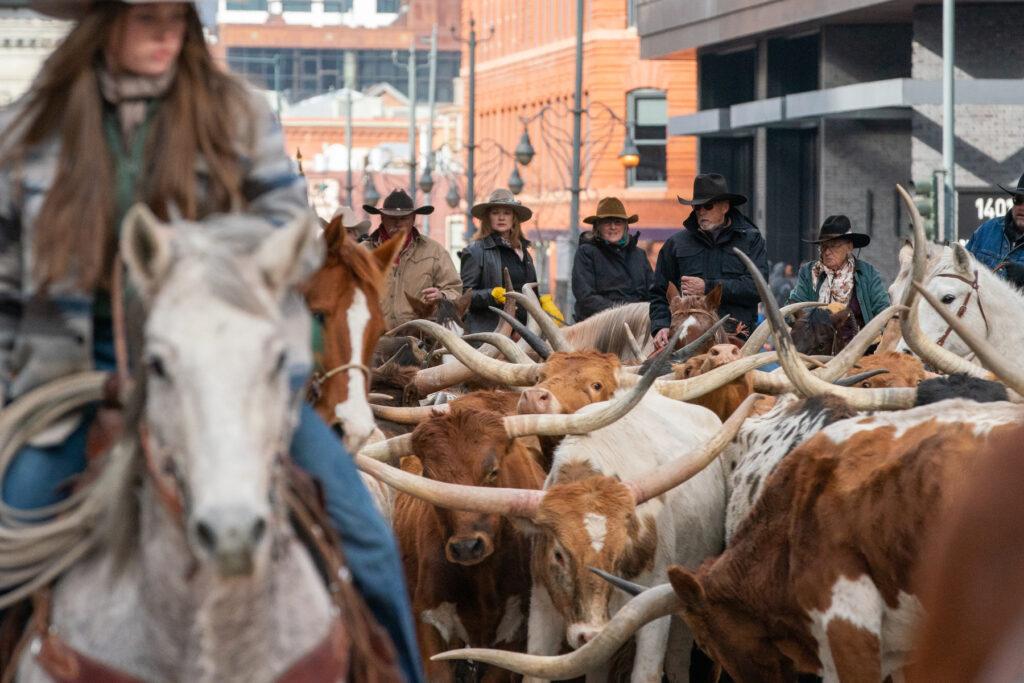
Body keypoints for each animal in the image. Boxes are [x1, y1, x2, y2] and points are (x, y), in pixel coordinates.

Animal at [395, 403, 548, 679]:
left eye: (493, 472)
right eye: (428, 476)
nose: (466, 547)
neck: (482, 574)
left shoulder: (515, 632)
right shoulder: (427, 620)